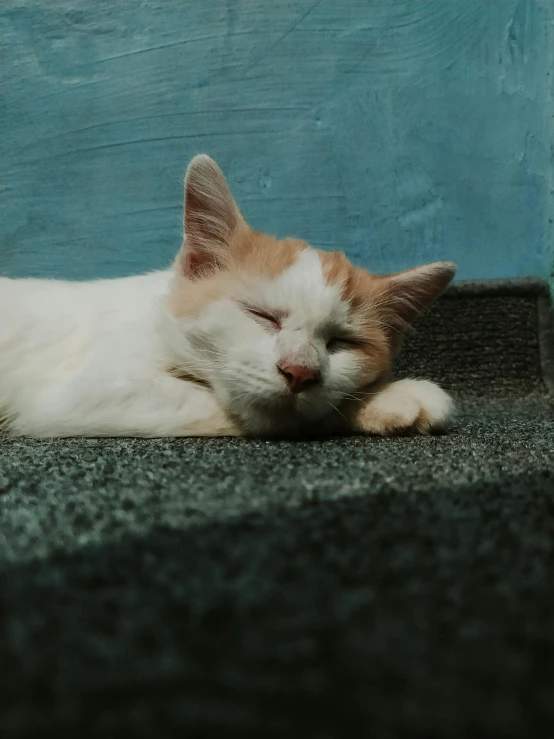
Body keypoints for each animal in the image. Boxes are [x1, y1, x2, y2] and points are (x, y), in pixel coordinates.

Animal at [0, 153, 452, 436]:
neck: (159, 317)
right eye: (261, 316)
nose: (300, 372)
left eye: (343, 342)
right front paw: (391, 398)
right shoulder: (81, 393)